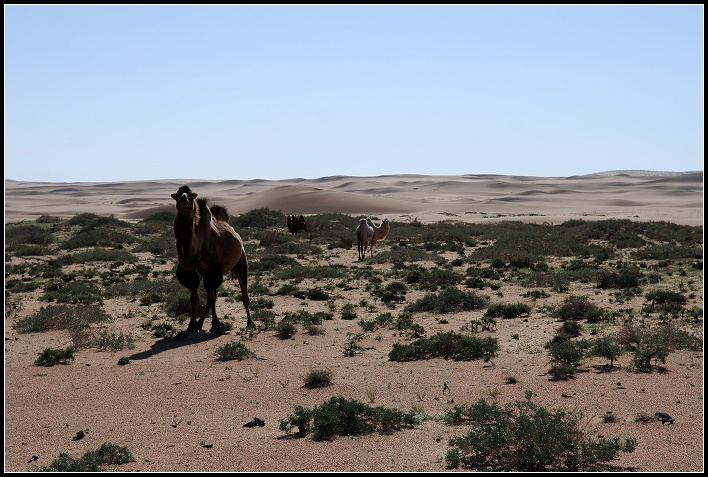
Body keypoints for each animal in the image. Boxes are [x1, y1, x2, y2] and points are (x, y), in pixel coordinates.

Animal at [171, 186, 253, 330]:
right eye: (177, 195)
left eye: (191, 195)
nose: (184, 198)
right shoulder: (189, 269)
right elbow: (195, 298)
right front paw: (192, 325)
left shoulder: (213, 268)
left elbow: (210, 298)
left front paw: (214, 322)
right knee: (213, 294)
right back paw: (200, 323)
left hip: (241, 261)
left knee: (243, 294)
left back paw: (250, 322)